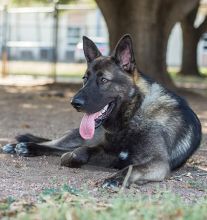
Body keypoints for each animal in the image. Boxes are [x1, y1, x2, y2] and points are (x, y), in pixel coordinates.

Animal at [2, 34, 202, 187]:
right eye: (85, 78)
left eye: (104, 80)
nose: (74, 103)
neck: (132, 115)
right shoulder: (106, 151)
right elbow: (81, 151)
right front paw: (71, 158)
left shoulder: (157, 163)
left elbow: (131, 167)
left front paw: (115, 179)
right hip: (81, 136)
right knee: (56, 144)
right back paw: (23, 146)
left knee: (58, 147)